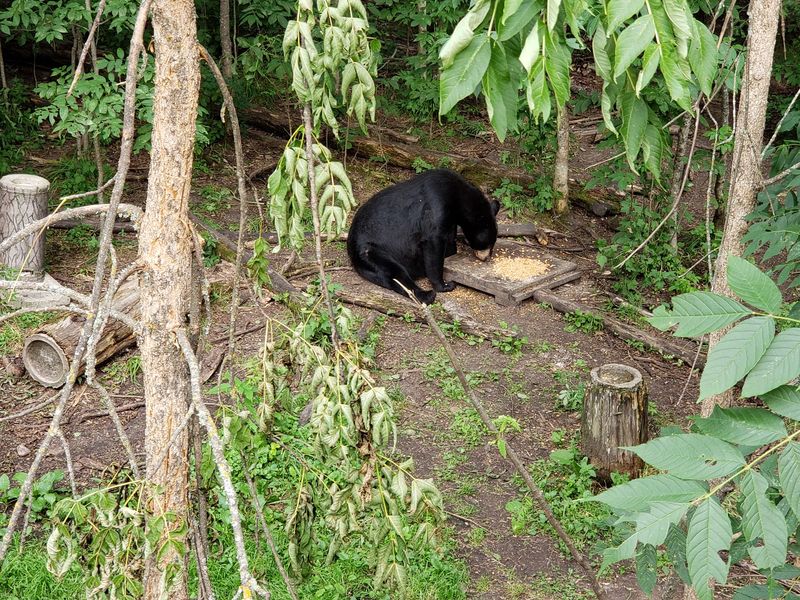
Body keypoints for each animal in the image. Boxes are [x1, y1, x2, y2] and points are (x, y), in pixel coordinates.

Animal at [347, 169, 500, 304]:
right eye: (488, 244)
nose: (487, 258)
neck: (457, 197)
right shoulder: (436, 207)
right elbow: (434, 244)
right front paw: (444, 285)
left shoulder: (450, 220)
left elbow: (450, 239)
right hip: (371, 252)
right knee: (396, 274)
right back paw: (428, 294)